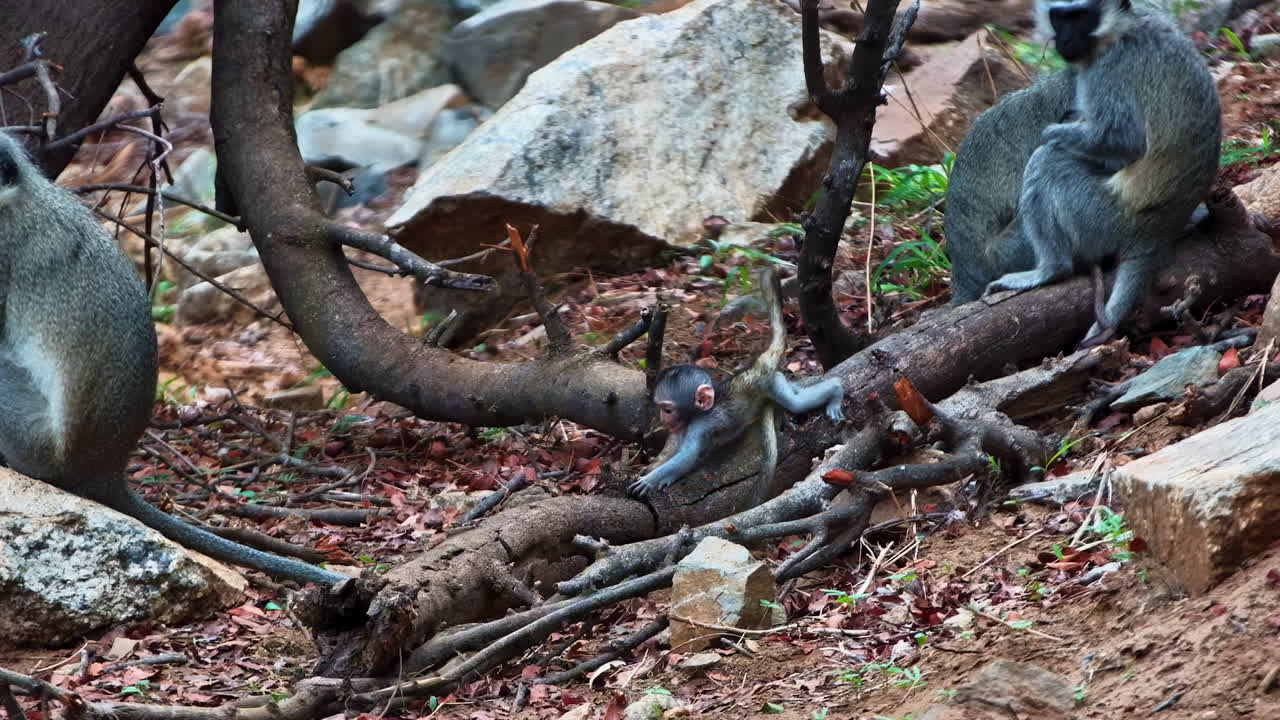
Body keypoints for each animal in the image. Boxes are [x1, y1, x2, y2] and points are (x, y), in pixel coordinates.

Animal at [629, 268, 844, 500]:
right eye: (661, 409)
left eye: (668, 409)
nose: (663, 418)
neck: (697, 413)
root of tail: (758, 363)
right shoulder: (681, 427)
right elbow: (671, 449)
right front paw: (650, 467)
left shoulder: (700, 425)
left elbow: (686, 457)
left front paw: (651, 479)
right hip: (775, 379)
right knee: (795, 390)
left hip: (767, 382)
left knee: (796, 403)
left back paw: (836, 391)